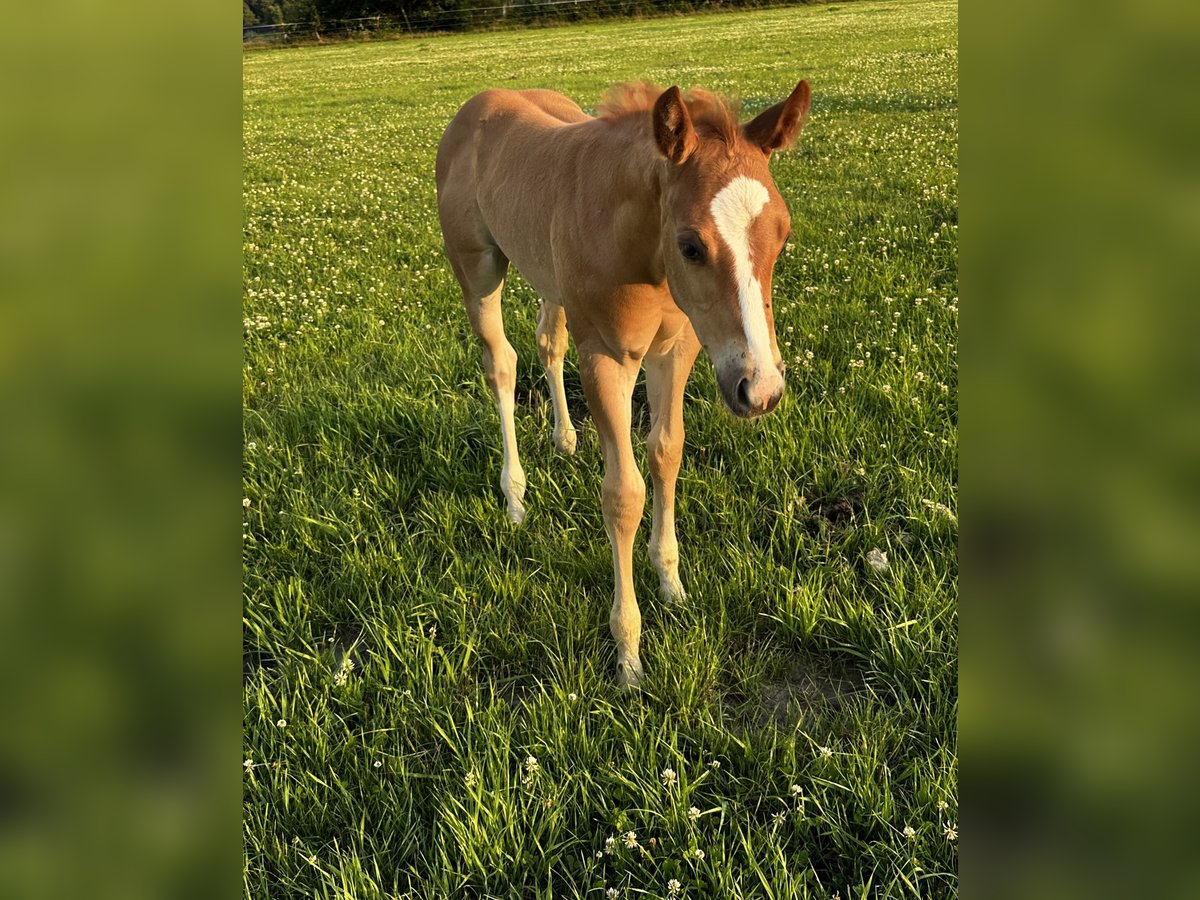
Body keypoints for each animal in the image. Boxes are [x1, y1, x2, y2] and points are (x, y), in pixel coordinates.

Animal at [435, 79, 812, 687]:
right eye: (691, 246)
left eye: (782, 234)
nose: (761, 390)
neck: (641, 248)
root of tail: (482, 100)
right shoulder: (608, 361)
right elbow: (624, 495)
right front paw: (629, 655)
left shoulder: (677, 350)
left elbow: (667, 452)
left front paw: (672, 583)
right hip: (477, 269)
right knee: (502, 364)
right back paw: (514, 497)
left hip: (551, 281)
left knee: (549, 342)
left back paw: (565, 439)